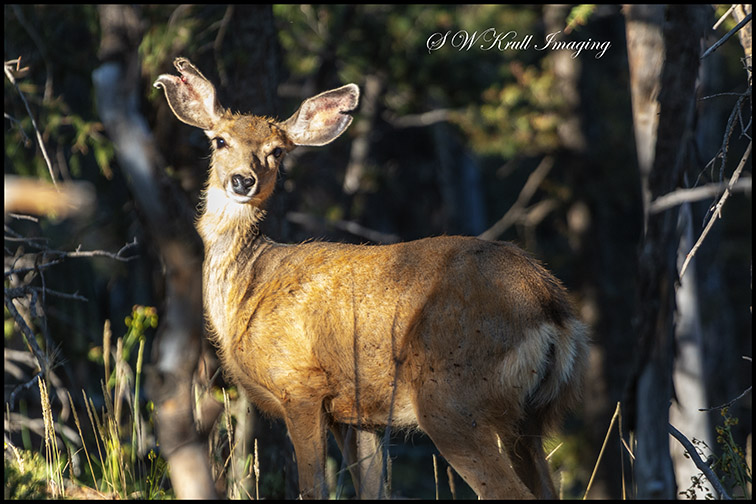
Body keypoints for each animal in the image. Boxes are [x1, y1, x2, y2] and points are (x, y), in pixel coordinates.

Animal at [154, 57, 589, 500]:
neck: (247, 289)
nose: (243, 181)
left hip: (453, 397)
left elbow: (313, 488)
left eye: (276, 151)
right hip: (528, 418)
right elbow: (373, 488)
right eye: (220, 141)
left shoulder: (300, 384)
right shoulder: (356, 411)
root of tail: (552, 309)